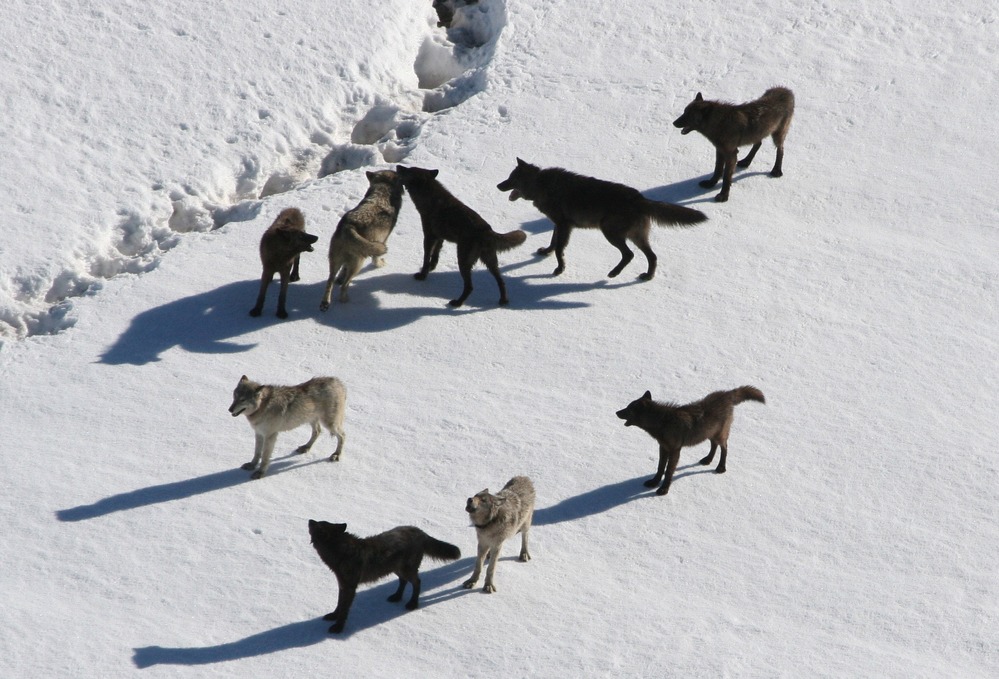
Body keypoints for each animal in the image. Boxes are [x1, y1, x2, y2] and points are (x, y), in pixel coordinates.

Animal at [308, 520, 460, 636]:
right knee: (403, 581)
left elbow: (344, 609)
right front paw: (333, 616)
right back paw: (396, 597)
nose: (309, 520)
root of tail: (420, 532)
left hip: (406, 570)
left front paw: (338, 628)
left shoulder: (349, 587)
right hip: (396, 569)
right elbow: (339, 604)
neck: (342, 552)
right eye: (320, 522)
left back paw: (412, 604)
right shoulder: (342, 585)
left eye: (318, 526)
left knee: (417, 582)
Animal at [316, 170, 402, 310]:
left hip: (334, 262)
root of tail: (348, 226)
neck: (382, 190)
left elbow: (342, 272)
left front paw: (340, 278)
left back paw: (325, 303)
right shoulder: (383, 241)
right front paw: (380, 264)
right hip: (358, 264)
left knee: (330, 281)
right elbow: (376, 259)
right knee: (345, 285)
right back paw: (346, 301)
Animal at [396, 165, 528, 306]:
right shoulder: (440, 237)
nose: (397, 166)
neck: (430, 198)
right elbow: (435, 255)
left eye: (408, 170)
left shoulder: (429, 236)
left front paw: (422, 275)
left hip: (463, 260)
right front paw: (432, 267)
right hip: (490, 262)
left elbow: (426, 258)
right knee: (501, 281)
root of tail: (487, 230)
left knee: (470, 286)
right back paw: (503, 301)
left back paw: (457, 303)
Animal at [496, 159, 708, 278]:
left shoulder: (564, 225)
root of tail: (640, 198)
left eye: (511, 179)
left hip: (610, 232)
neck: (541, 184)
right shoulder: (559, 224)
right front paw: (545, 252)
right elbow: (553, 243)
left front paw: (559, 269)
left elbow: (559, 249)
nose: (498, 186)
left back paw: (614, 273)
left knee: (629, 255)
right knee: (652, 256)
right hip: (636, 236)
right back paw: (647, 277)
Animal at [612, 386, 768, 496]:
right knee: (714, 446)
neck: (663, 422)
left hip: (719, 435)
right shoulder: (663, 447)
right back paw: (707, 460)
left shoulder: (675, 450)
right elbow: (660, 468)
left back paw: (721, 468)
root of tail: (727, 394)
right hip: (709, 434)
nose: (616, 412)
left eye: (628, 409)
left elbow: (669, 471)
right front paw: (654, 482)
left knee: (724, 448)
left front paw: (663, 490)